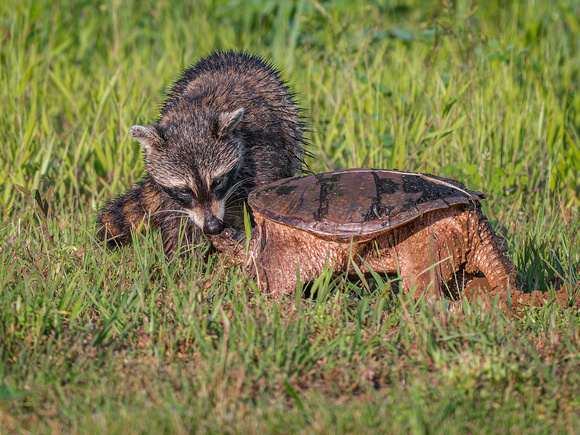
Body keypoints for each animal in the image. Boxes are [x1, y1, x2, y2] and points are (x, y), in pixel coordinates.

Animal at [95, 51, 308, 258]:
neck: (194, 112)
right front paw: (182, 260)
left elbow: (262, 199)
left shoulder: (263, 151)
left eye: (217, 182)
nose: (213, 227)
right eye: (184, 190)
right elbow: (177, 222)